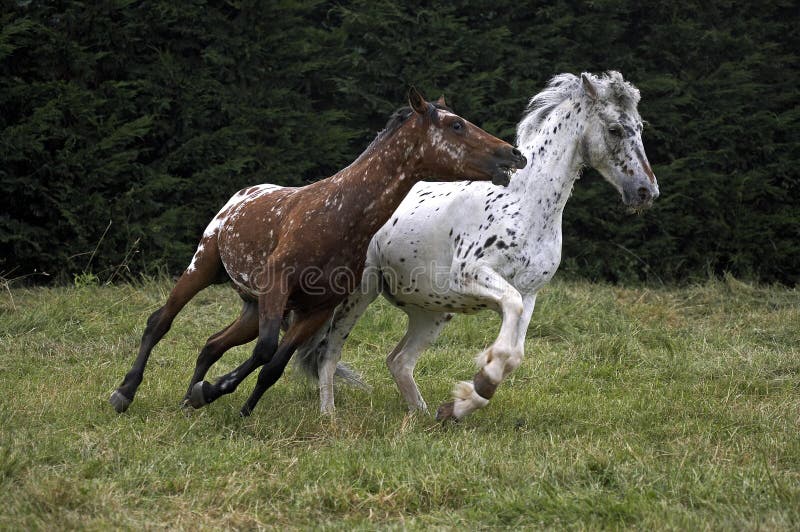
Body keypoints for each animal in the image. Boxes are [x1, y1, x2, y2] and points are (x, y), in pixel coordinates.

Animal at [109, 87, 528, 416]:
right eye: (456, 125)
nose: (513, 154)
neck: (337, 215)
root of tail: (240, 197)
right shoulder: (279, 287)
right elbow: (266, 350)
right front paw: (213, 391)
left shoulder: (316, 309)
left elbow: (274, 364)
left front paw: (226, 402)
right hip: (202, 267)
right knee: (159, 322)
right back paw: (124, 394)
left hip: (251, 307)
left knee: (212, 344)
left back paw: (187, 400)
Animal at [296, 71, 660, 420]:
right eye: (614, 129)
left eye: (640, 128)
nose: (646, 191)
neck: (525, 203)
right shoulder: (473, 275)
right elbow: (507, 336)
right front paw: (479, 381)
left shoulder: (529, 293)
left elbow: (516, 353)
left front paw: (458, 406)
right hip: (360, 294)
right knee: (329, 354)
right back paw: (329, 416)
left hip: (431, 310)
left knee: (399, 360)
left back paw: (424, 416)